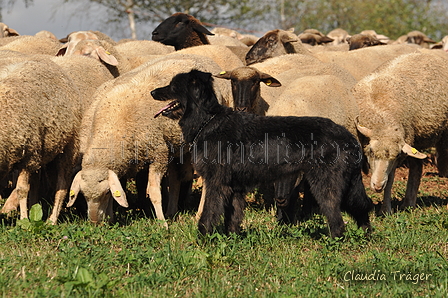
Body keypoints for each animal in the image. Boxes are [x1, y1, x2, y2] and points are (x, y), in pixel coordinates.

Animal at [68, 55, 229, 224]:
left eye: (105, 193)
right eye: (83, 195)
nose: (94, 222)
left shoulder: (159, 154)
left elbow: (153, 192)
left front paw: (162, 223)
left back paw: (198, 214)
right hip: (176, 145)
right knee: (176, 179)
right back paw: (172, 211)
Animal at [152, 69, 372, 237]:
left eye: (172, 86)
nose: (152, 91)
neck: (208, 121)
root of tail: (348, 137)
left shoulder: (216, 184)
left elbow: (208, 214)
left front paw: (203, 238)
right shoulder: (235, 188)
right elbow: (233, 217)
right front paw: (232, 238)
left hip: (325, 186)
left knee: (337, 221)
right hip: (346, 186)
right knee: (361, 209)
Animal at [354, 51, 448, 214]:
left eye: (397, 155)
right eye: (371, 151)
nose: (377, 186)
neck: (381, 116)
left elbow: (390, 180)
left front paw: (386, 210)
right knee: (417, 167)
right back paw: (409, 203)